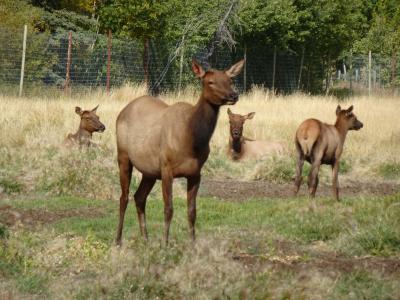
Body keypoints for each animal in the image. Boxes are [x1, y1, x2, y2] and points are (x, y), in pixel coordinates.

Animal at [115, 59, 245, 246]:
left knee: (139, 197)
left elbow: (192, 211)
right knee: (123, 197)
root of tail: (123, 111)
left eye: (230, 80)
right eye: (210, 82)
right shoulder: (166, 168)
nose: (233, 95)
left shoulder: (195, 173)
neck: (191, 141)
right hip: (123, 156)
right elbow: (168, 209)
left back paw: (146, 239)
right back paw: (118, 240)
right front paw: (165, 244)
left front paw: (192, 244)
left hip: (150, 171)